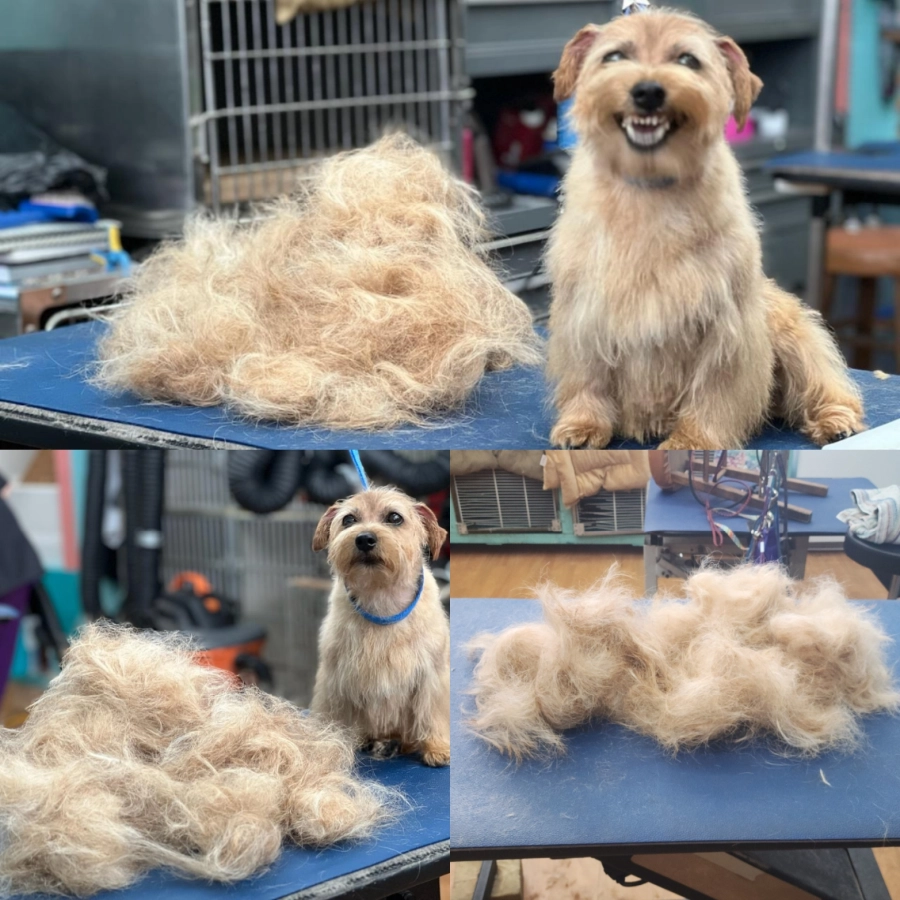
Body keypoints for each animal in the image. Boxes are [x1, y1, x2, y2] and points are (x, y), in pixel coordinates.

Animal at [311, 486, 450, 767]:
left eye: (394, 517)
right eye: (349, 519)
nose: (364, 539)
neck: (381, 598)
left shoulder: (432, 675)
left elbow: (433, 712)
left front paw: (437, 747)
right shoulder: (335, 678)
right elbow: (335, 713)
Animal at [546, 7, 865, 449]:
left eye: (687, 59)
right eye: (614, 57)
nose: (648, 91)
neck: (651, 190)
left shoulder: (725, 330)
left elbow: (715, 391)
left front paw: (693, 442)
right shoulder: (582, 315)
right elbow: (586, 377)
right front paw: (584, 423)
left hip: (794, 336)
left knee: (825, 384)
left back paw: (835, 420)